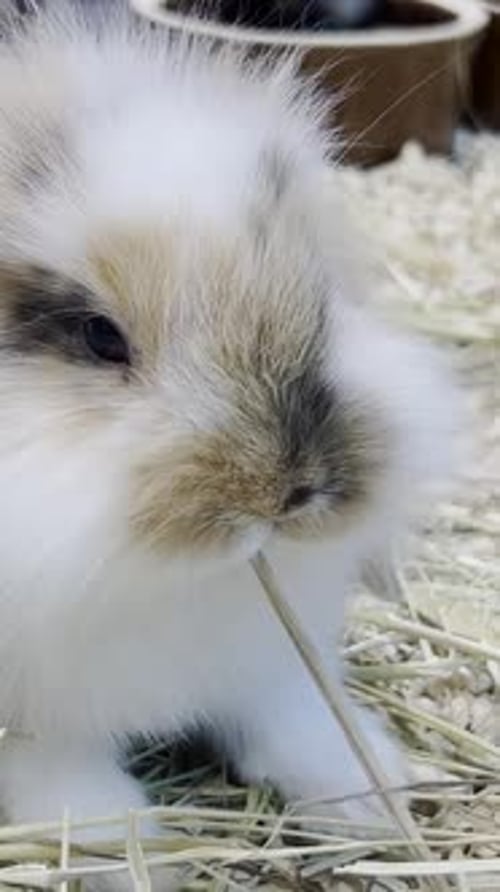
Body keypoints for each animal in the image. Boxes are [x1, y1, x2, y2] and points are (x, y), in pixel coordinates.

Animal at [0, 1, 460, 888]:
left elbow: (299, 718)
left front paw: (374, 794)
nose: (292, 492)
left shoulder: (266, 658)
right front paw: (133, 862)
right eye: (99, 336)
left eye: (319, 298)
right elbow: (72, 786)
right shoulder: (37, 724)